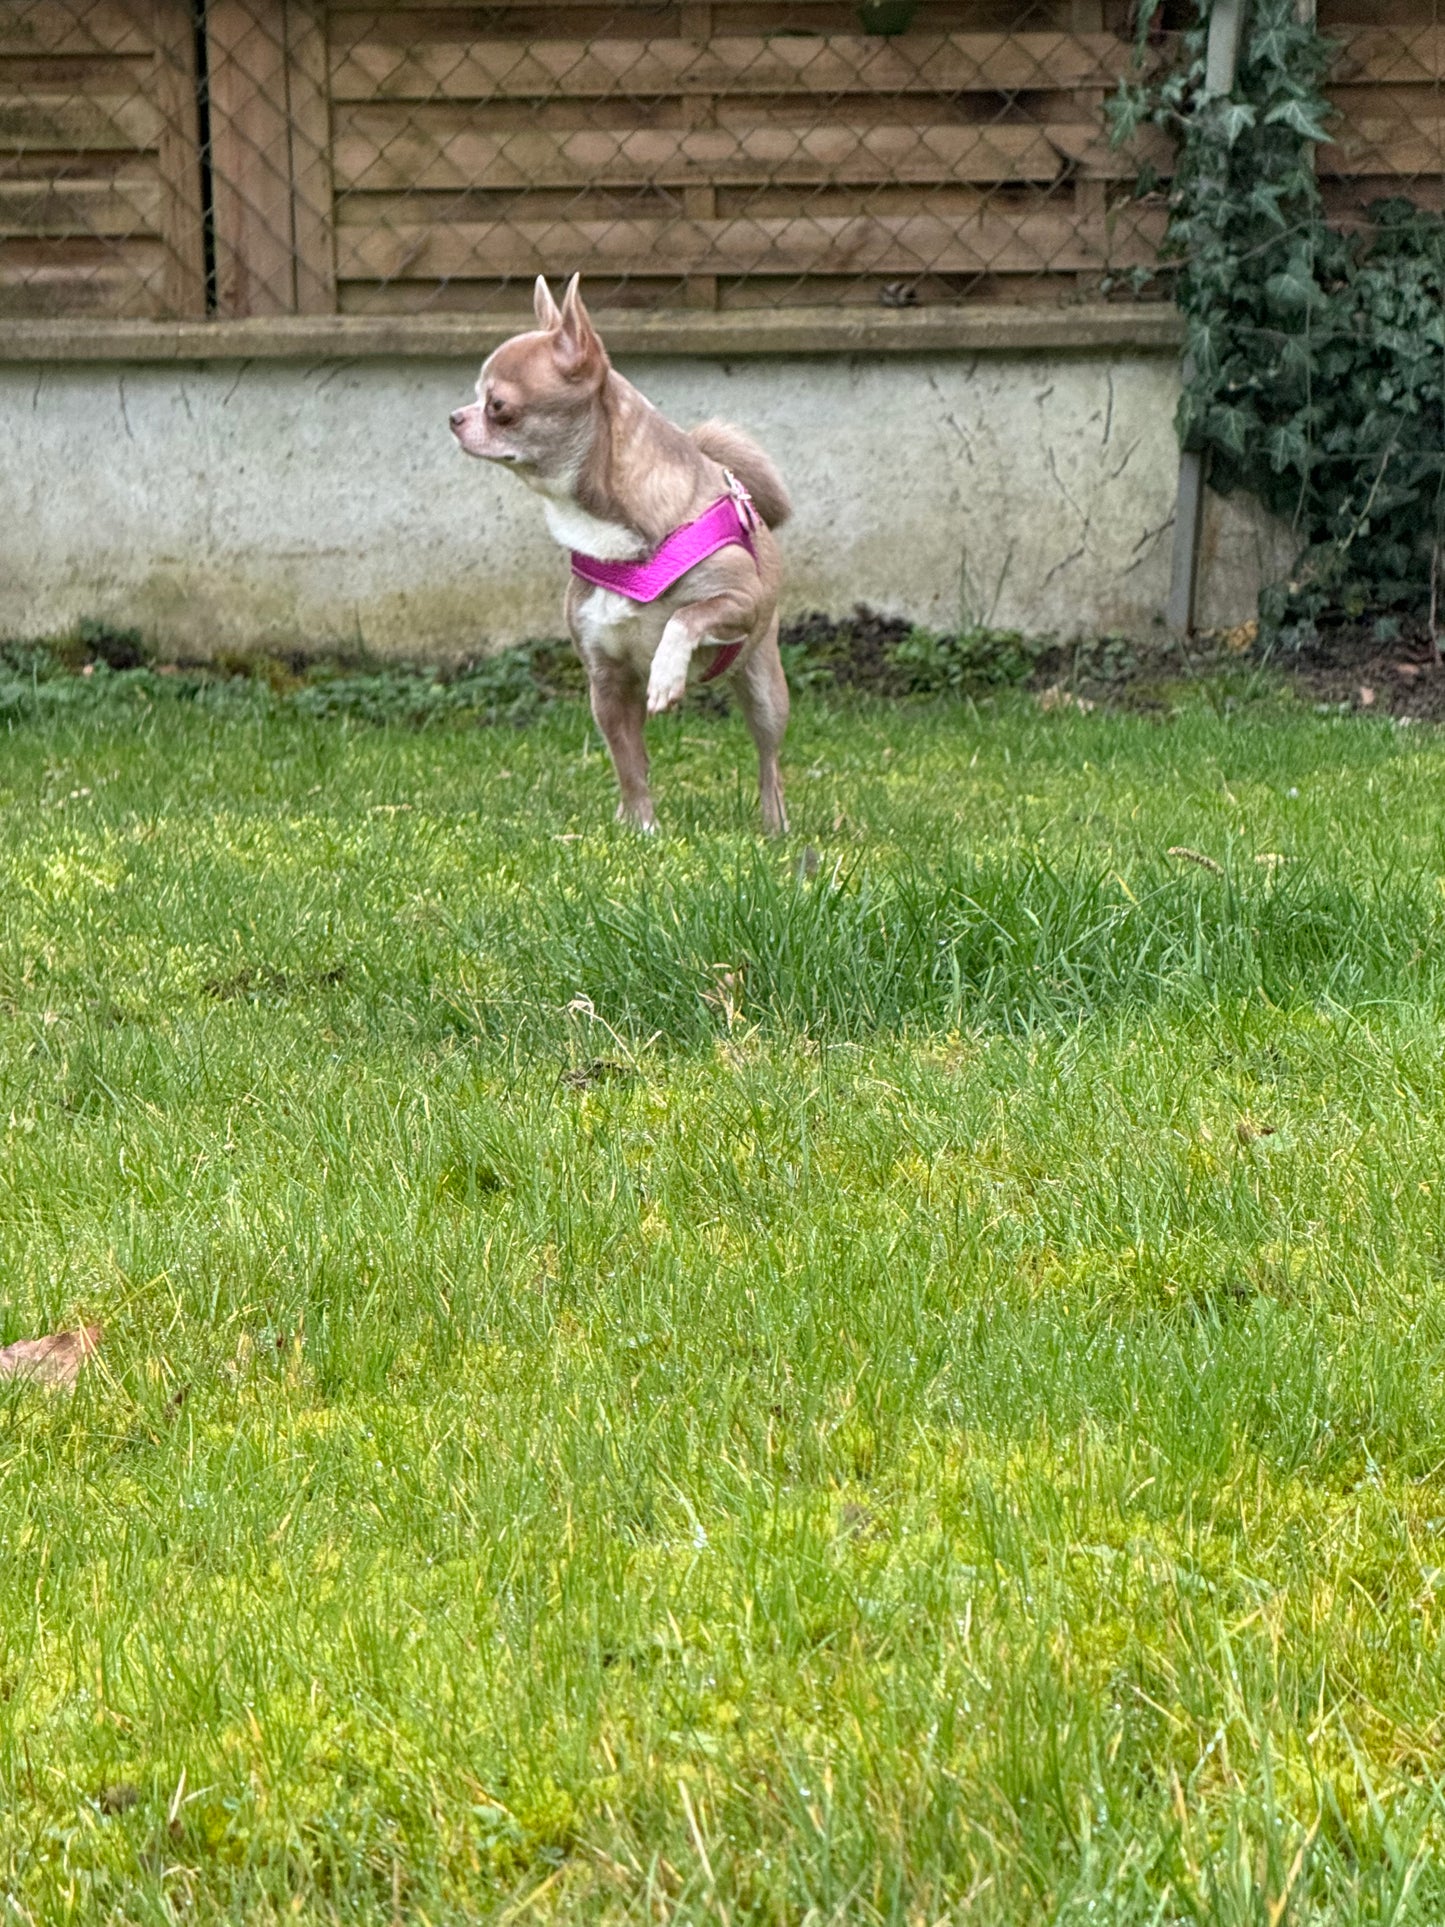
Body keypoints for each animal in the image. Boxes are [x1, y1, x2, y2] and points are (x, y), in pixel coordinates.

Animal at [450, 275, 793, 832]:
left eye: (497, 405)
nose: (455, 417)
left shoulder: (741, 601)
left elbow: (685, 616)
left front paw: (668, 673)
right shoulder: (606, 682)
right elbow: (628, 764)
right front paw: (642, 831)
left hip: (763, 681)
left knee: (769, 761)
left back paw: (775, 825)